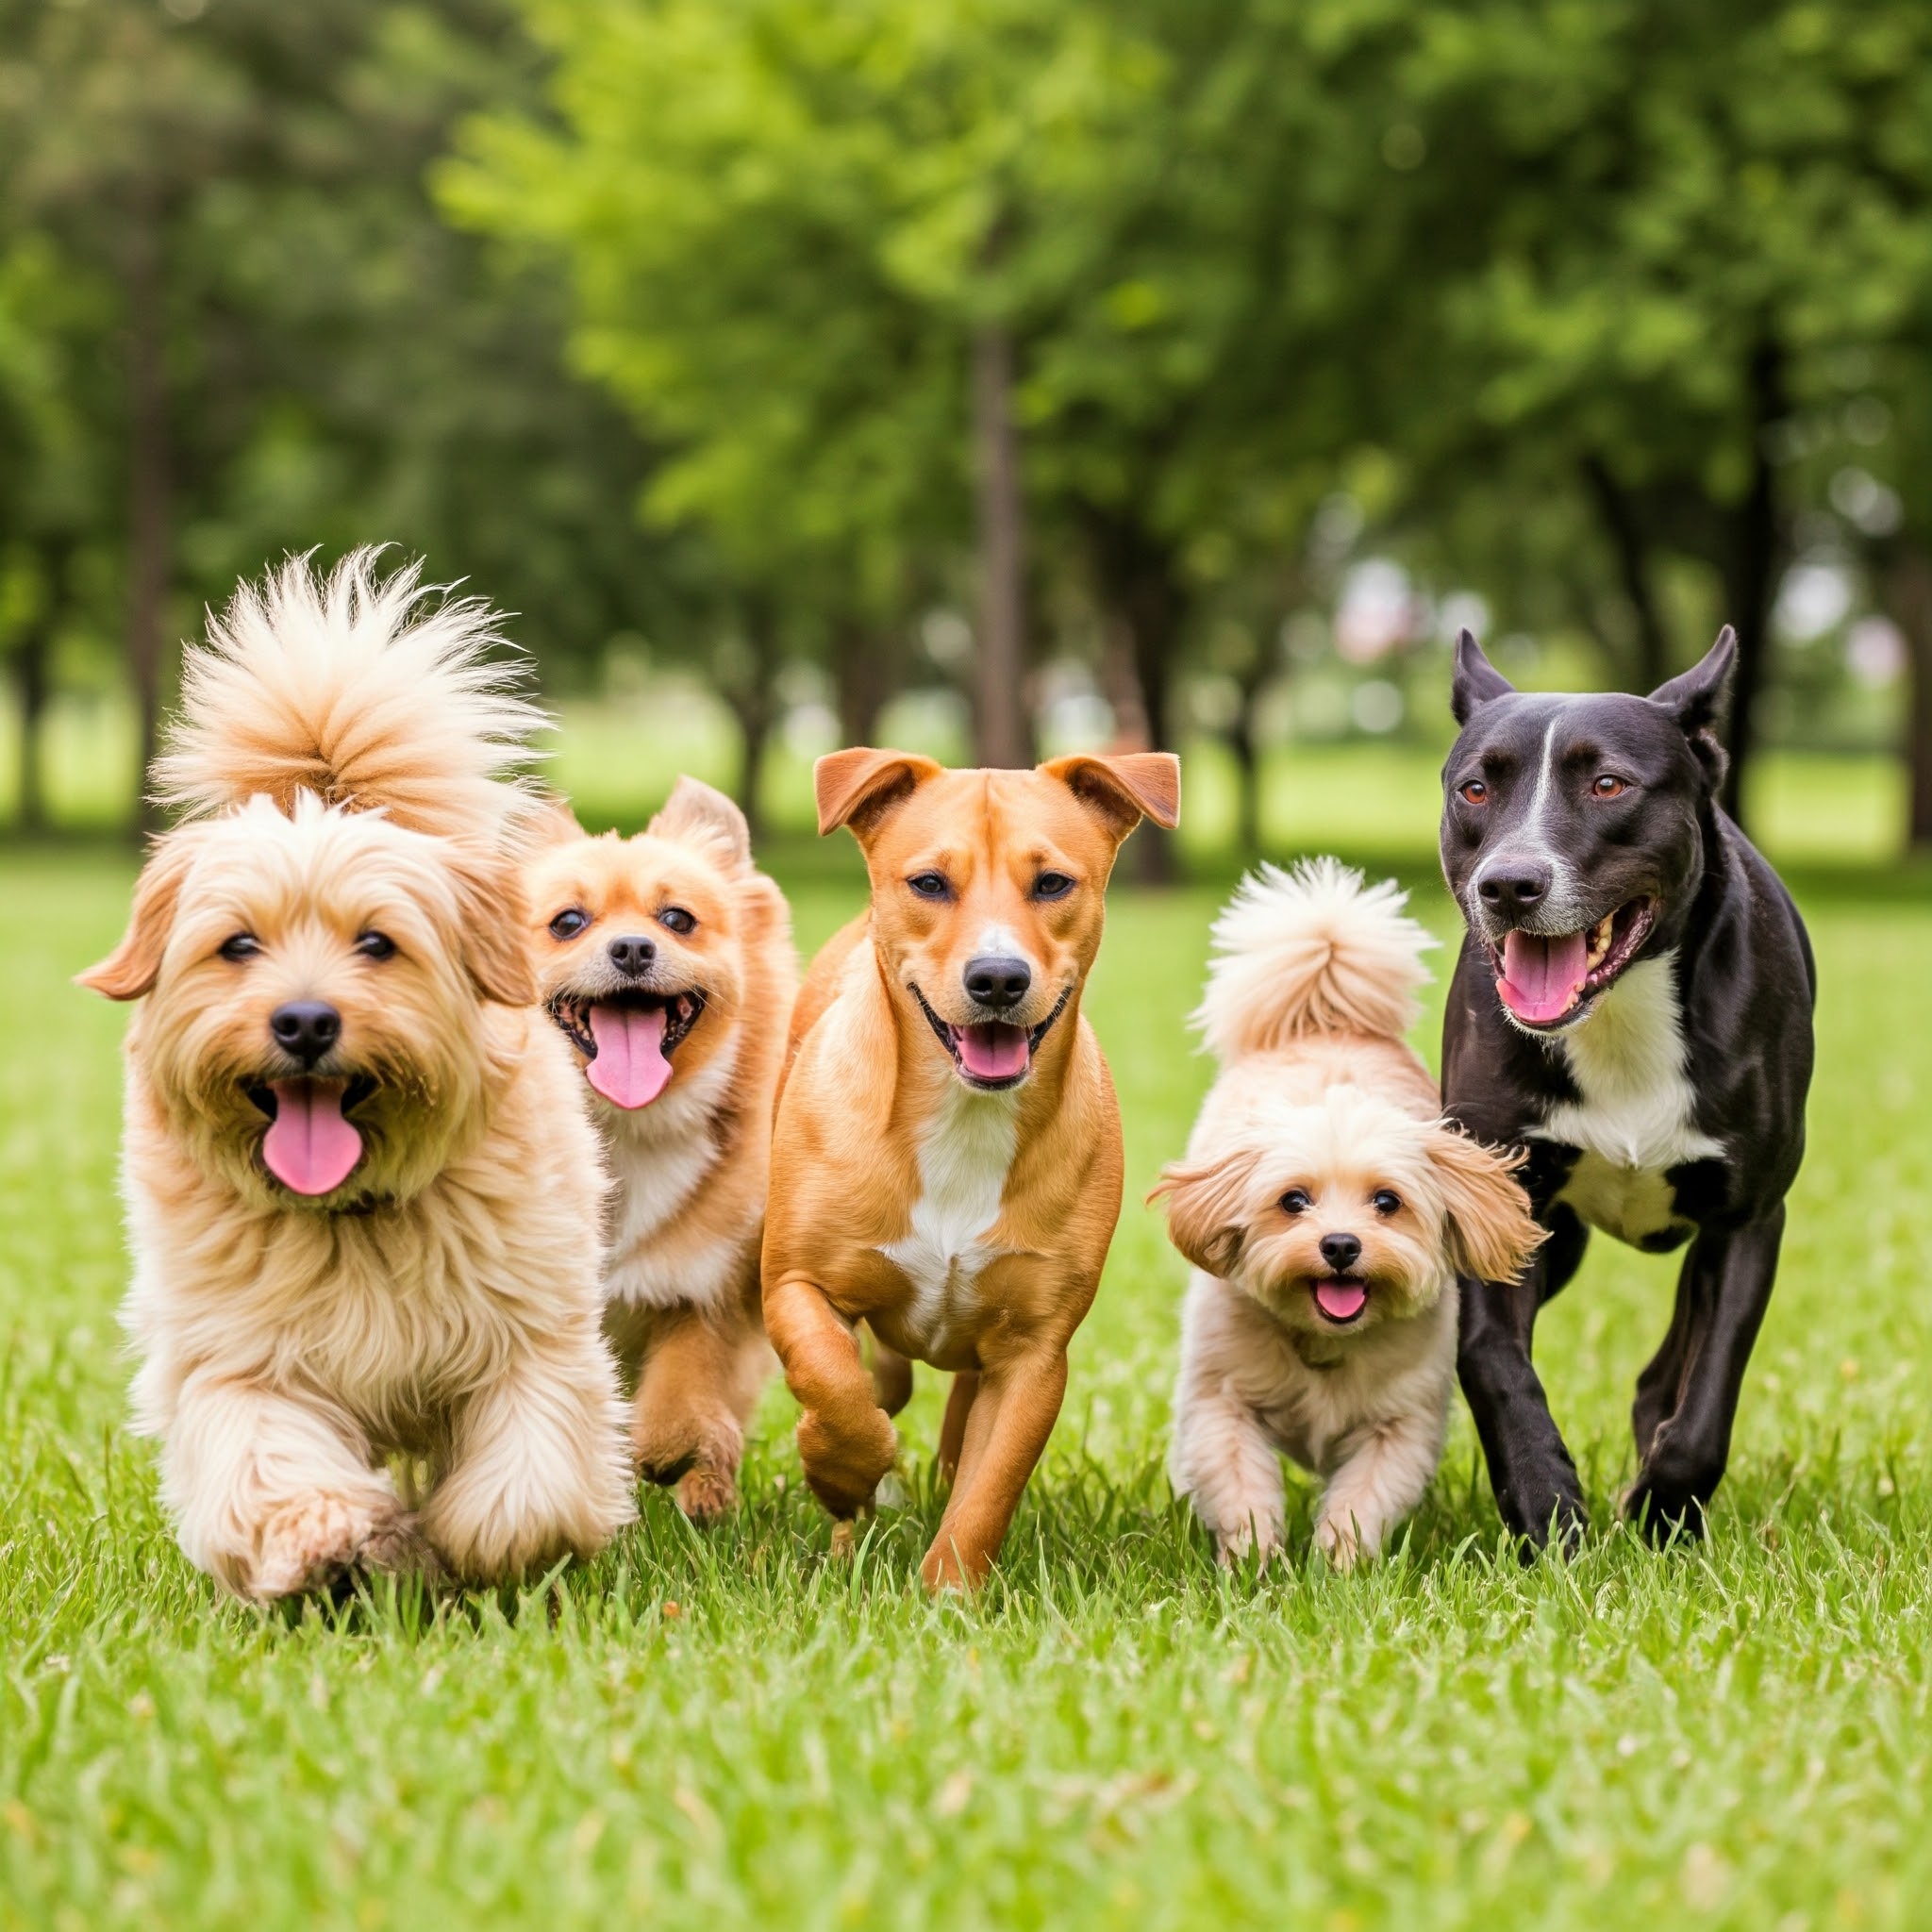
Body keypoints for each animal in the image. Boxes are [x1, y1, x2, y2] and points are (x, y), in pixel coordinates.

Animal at [81, 548, 633, 1599]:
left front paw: (463, 1545)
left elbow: (527, 1482)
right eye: (237, 944)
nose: (304, 1021)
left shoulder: (534, 1335)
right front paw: (340, 1537)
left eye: (378, 942)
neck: (349, 1216)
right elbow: (270, 1463)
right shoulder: (234, 1358)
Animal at [521, 780, 791, 1522]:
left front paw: (664, 1452)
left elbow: (682, 1400)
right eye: (567, 922)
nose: (633, 949)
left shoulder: (706, 1290)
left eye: (678, 919)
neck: (621, 1130)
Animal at [757, 745, 1174, 1591]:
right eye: (929, 883)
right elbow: (833, 1385)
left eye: (1051, 883)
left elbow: (990, 1486)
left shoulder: (1034, 1355)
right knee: (878, 1383)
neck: (964, 1117)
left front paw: (947, 1592)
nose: (999, 978)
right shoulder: (794, 1283)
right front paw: (840, 1471)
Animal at [1143, 861, 1538, 1568]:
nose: (1340, 1246)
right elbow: (1240, 1483)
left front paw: (1339, 1566)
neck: (1324, 1341)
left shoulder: (1401, 1424)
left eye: (1387, 1202)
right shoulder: (1220, 1403)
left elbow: (1363, 1498)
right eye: (1292, 1201)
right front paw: (1255, 1563)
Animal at [1444, 633, 1816, 1553]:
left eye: (1609, 784)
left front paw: (1662, 1511)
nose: (1510, 884)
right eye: (1476, 788)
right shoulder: (1495, 1200)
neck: (1617, 1014)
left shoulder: (1748, 1219)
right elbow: (1491, 1361)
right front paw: (1545, 1507)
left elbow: (1707, 1394)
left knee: (1670, 1372)